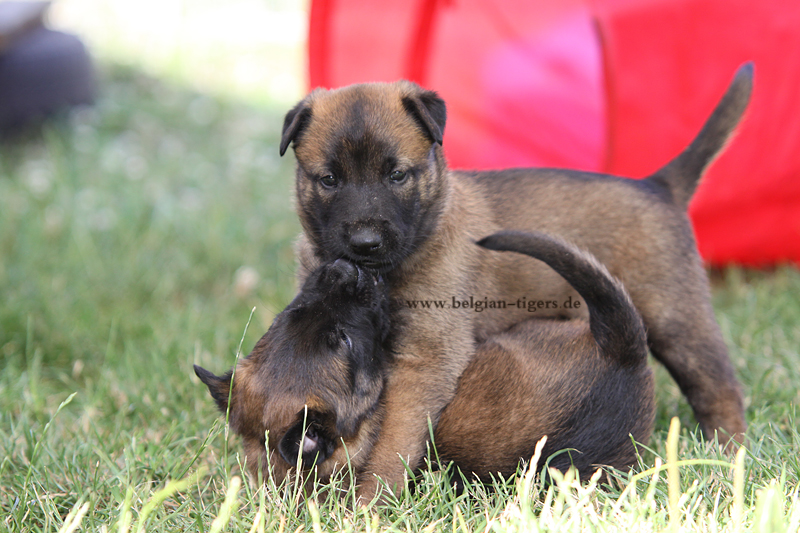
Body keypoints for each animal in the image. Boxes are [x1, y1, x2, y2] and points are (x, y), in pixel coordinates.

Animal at [280, 64, 753, 498]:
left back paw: (726, 456)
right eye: (329, 179)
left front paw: (372, 499)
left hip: (675, 317)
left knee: (719, 390)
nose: (365, 243)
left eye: (397, 175)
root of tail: (657, 186)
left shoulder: (425, 362)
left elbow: (393, 439)